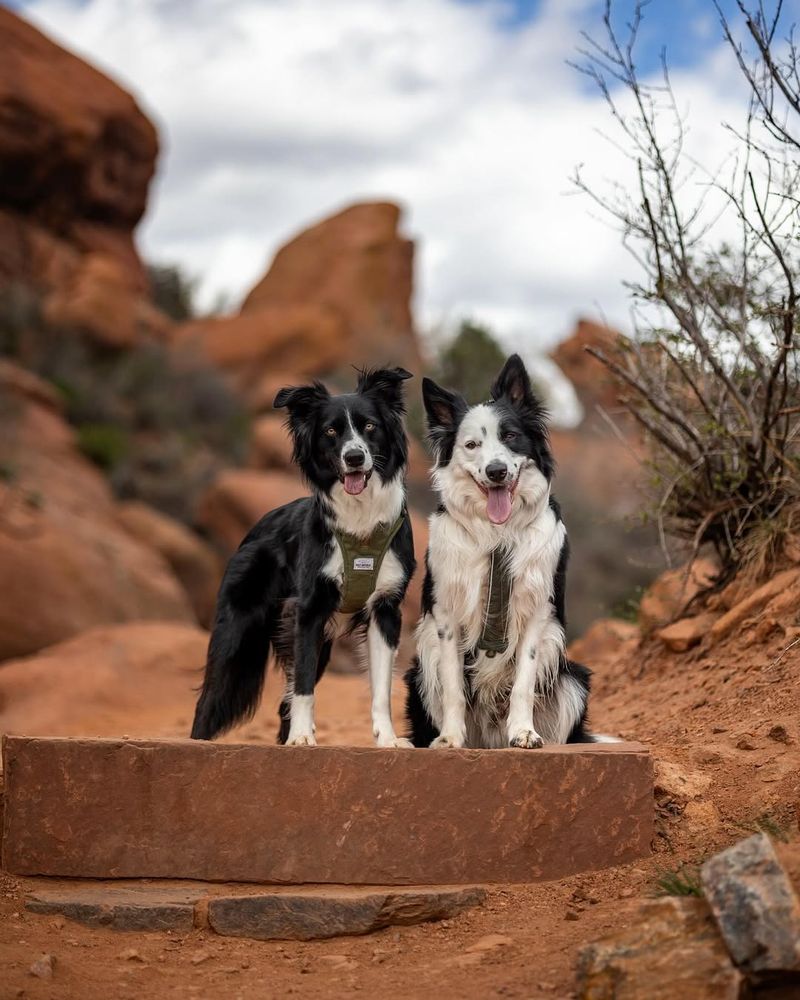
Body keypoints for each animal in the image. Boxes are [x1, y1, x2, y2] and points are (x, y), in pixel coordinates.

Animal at [191, 370, 416, 752]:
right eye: (330, 431)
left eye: (370, 426)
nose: (354, 457)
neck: (360, 520)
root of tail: (254, 528)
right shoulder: (309, 609)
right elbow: (304, 684)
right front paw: (301, 737)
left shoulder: (385, 609)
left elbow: (382, 688)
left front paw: (388, 739)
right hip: (236, 632)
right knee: (211, 698)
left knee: (283, 701)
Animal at [404, 356, 596, 748]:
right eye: (471, 445)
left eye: (510, 436)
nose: (496, 471)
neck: (497, 533)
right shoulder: (447, 615)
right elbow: (453, 686)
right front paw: (449, 738)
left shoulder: (536, 610)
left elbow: (524, 680)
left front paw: (523, 731)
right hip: (418, 672)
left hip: (574, 679)